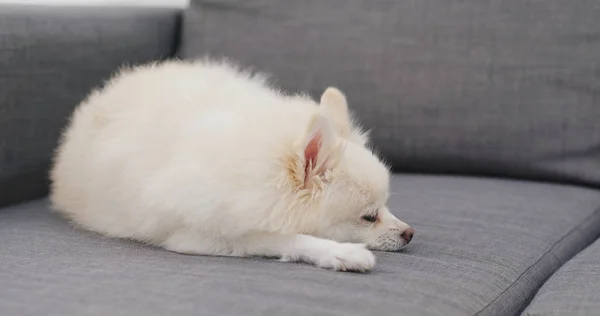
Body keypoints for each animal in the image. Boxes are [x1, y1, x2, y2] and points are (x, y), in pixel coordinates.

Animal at [50, 59, 412, 272]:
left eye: (386, 206)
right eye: (369, 217)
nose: (410, 233)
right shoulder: (200, 235)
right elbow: (284, 238)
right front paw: (342, 253)